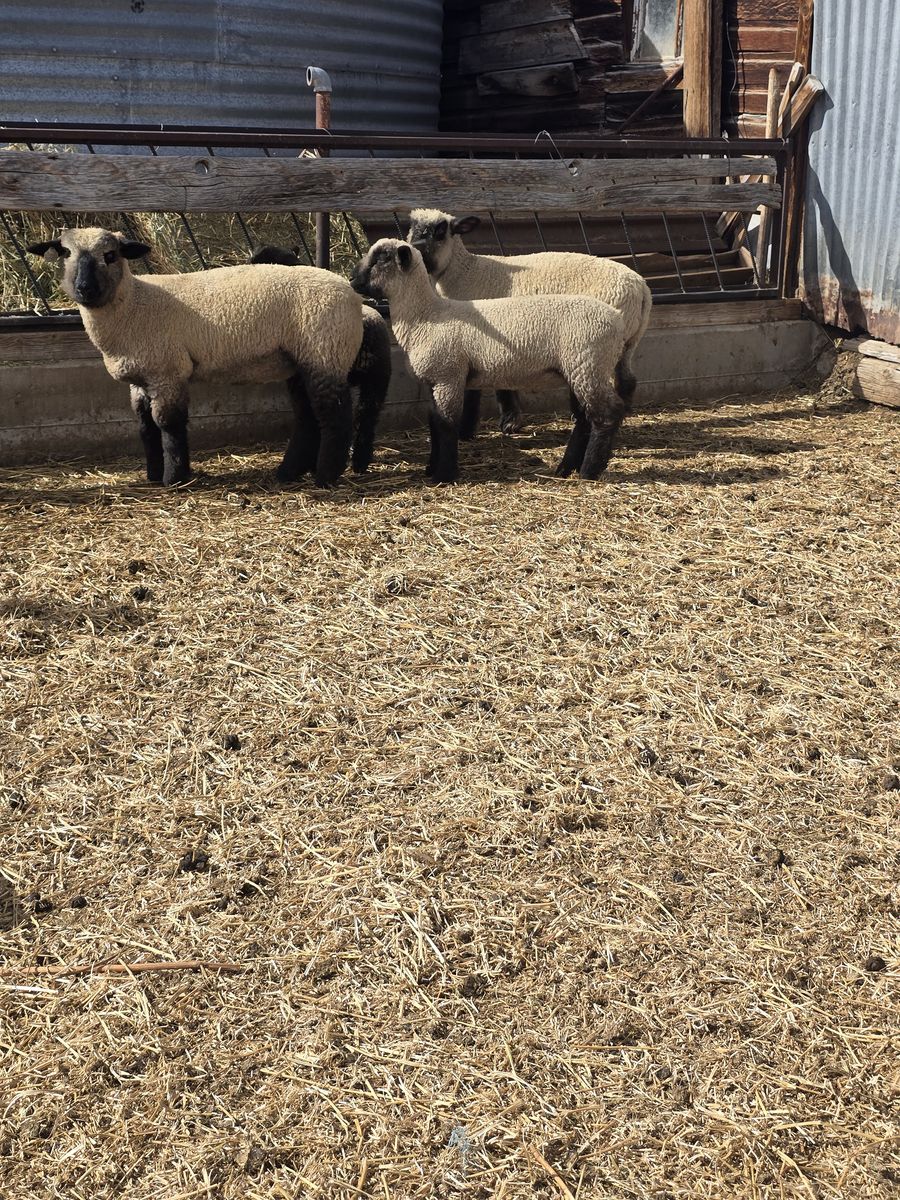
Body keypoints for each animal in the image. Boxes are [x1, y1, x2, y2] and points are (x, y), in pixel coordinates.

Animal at [26, 228, 363, 487]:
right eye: (66, 253)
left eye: (110, 255)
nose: (84, 288)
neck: (134, 303)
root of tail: (350, 292)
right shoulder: (141, 377)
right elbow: (145, 427)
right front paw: (153, 474)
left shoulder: (168, 371)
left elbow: (169, 424)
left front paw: (175, 477)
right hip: (299, 362)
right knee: (308, 416)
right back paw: (289, 473)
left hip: (326, 352)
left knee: (335, 416)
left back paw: (325, 477)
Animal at [350, 239, 626, 484]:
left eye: (381, 258)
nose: (352, 279)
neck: (426, 317)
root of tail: (616, 319)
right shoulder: (434, 380)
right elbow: (434, 423)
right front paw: (431, 468)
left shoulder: (448, 376)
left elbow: (447, 424)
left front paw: (444, 475)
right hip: (581, 369)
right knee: (585, 417)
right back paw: (566, 468)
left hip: (589, 366)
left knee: (607, 415)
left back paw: (589, 471)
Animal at [406, 208, 652, 438]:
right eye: (412, 228)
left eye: (441, 231)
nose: (414, 248)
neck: (465, 271)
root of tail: (641, 286)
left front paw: (496, 424)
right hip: (627, 342)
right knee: (627, 381)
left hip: (594, 344)